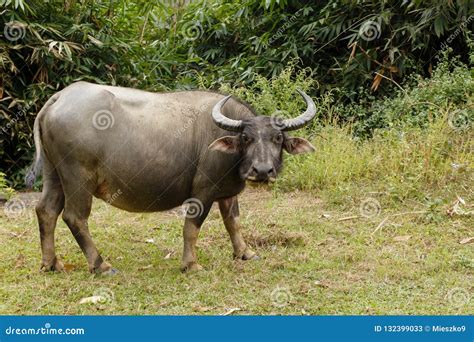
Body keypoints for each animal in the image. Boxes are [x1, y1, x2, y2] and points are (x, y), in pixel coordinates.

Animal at [25, 81, 314, 274]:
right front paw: (191, 264)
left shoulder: (227, 191)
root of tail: (59, 97)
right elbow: (191, 227)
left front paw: (245, 253)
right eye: (246, 137)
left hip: (54, 173)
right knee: (75, 217)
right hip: (78, 177)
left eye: (278, 138)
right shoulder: (203, 191)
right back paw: (101, 265)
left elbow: (233, 222)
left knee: (46, 210)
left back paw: (51, 263)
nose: (262, 171)